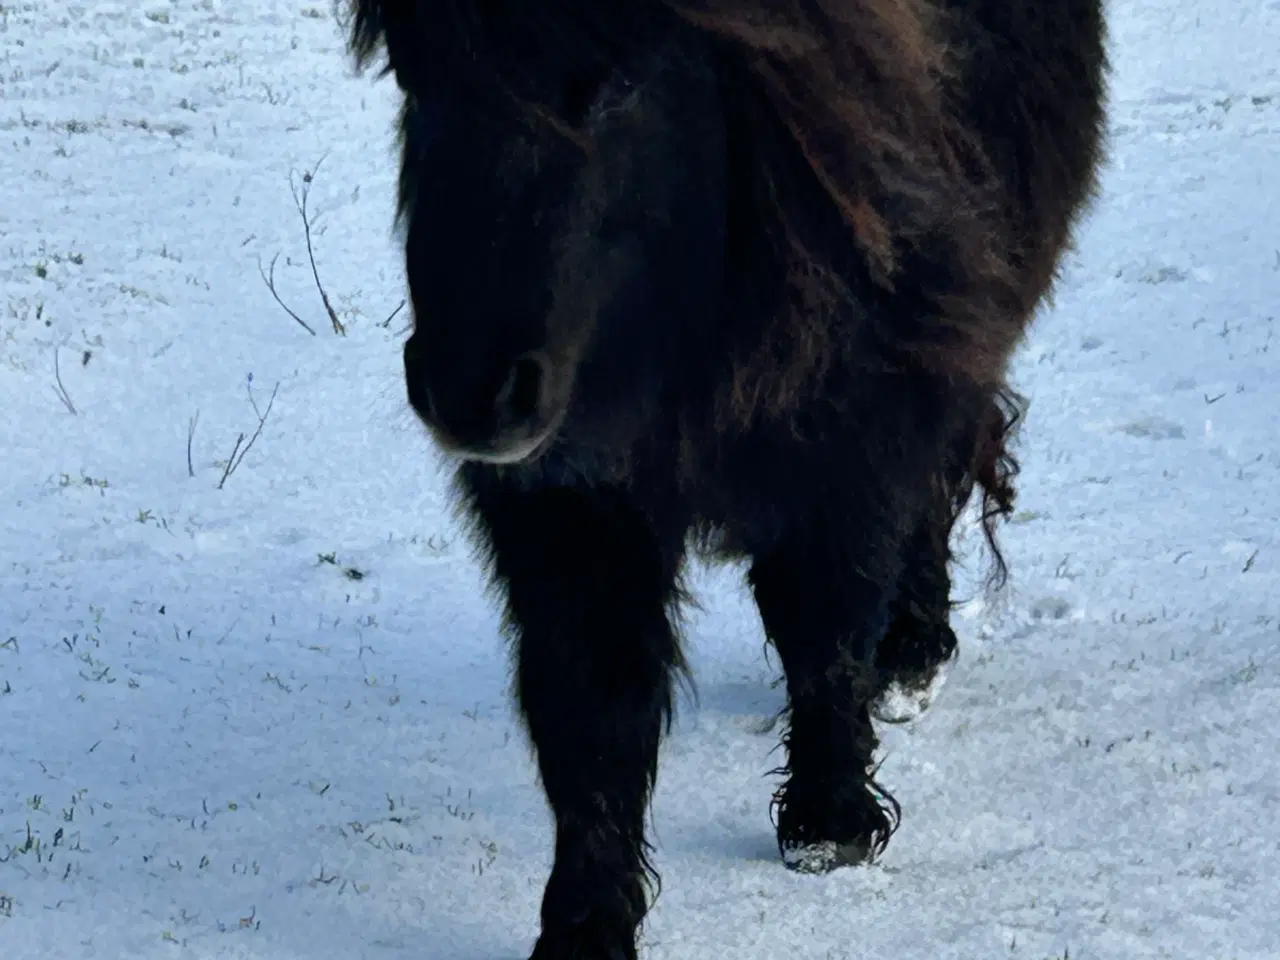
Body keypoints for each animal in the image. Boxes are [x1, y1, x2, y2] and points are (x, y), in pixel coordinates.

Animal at [345, 1, 1105, 957]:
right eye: (413, 79)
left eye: (618, 82)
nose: (471, 394)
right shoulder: (568, 499)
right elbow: (592, 703)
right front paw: (587, 923)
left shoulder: (849, 432)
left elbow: (824, 630)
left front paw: (829, 825)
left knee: (933, 492)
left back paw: (911, 655)